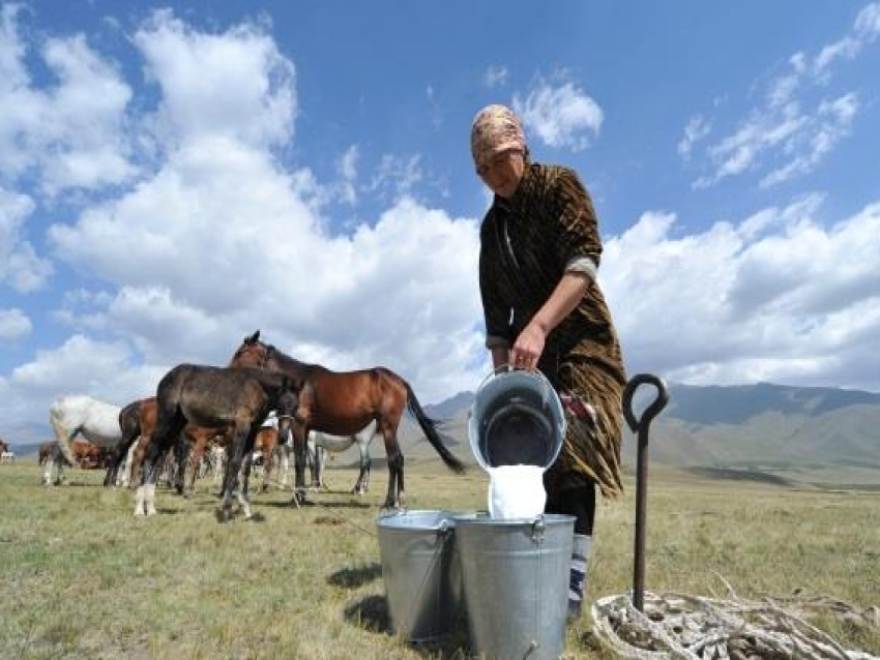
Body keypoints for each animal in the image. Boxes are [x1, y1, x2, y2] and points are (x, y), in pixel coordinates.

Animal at [136, 360, 300, 520]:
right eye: (283, 403)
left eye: (296, 406)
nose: (283, 436)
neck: (256, 386)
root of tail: (166, 378)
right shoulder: (242, 426)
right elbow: (234, 463)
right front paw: (226, 509)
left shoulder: (252, 431)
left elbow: (245, 467)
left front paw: (246, 509)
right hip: (166, 419)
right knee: (151, 453)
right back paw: (139, 509)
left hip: (176, 424)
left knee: (160, 457)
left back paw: (151, 508)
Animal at [227, 330, 464, 510]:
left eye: (241, 352)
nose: (226, 371)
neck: (299, 384)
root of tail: (400, 380)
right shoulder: (306, 430)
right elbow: (308, 462)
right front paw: (304, 493)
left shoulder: (300, 425)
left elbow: (301, 460)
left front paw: (298, 497)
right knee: (399, 460)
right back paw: (399, 499)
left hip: (388, 427)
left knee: (394, 460)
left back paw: (388, 501)